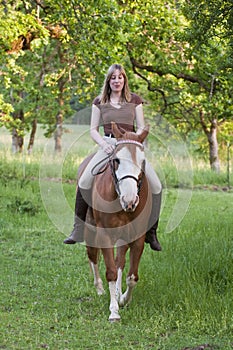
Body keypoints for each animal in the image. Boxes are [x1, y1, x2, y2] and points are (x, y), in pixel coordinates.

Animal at [81, 121, 152, 322]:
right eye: (117, 160)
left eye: (142, 161)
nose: (130, 200)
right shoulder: (104, 235)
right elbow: (111, 272)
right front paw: (114, 311)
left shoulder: (137, 237)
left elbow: (132, 275)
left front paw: (123, 300)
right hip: (91, 231)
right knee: (92, 255)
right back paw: (99, 289)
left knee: (119, 260)